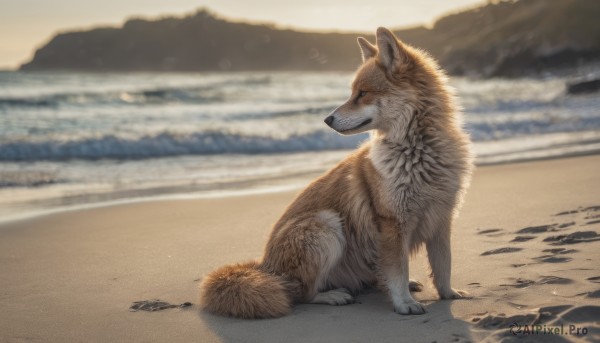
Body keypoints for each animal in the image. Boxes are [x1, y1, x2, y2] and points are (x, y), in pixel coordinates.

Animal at [200, 26, 474, 320]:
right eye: (353, 92)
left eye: (363, 93)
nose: (327, 119)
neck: (419, 151)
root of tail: (265, 267)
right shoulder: (393, 223)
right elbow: (398, 271)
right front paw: (404, 303)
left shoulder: (441, 219)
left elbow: (443, 265)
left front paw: (449, 295)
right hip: (326, 226)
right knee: (301, 293)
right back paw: (333, 295)